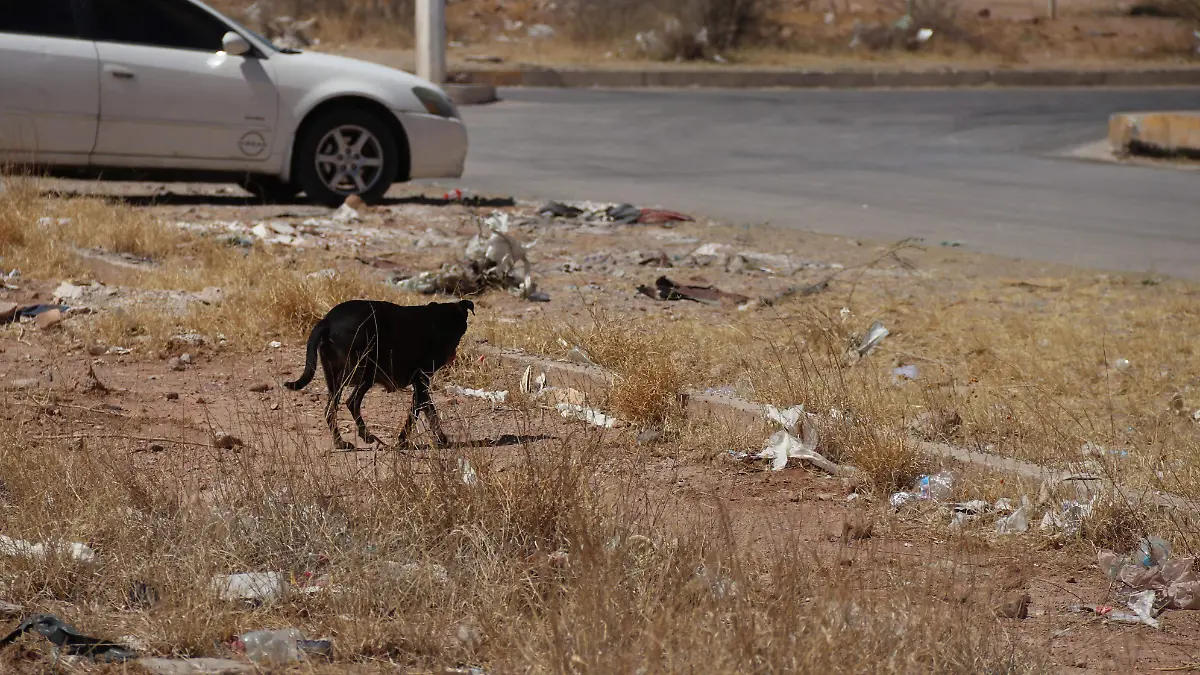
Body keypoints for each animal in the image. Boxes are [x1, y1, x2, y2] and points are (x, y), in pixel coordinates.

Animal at [284, 297, 472, 446]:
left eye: (457, 329)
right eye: (445, 330)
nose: (449, 354)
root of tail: (327, 321)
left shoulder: (420, 385)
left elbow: (425, 411)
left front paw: (437, 438)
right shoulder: (421, 381)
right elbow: (422, 413)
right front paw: (407, 439)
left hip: (334, 379)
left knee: (330, 409)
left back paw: (341, 443)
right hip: (367, 372)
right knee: (352, 402)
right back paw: (365, 435)